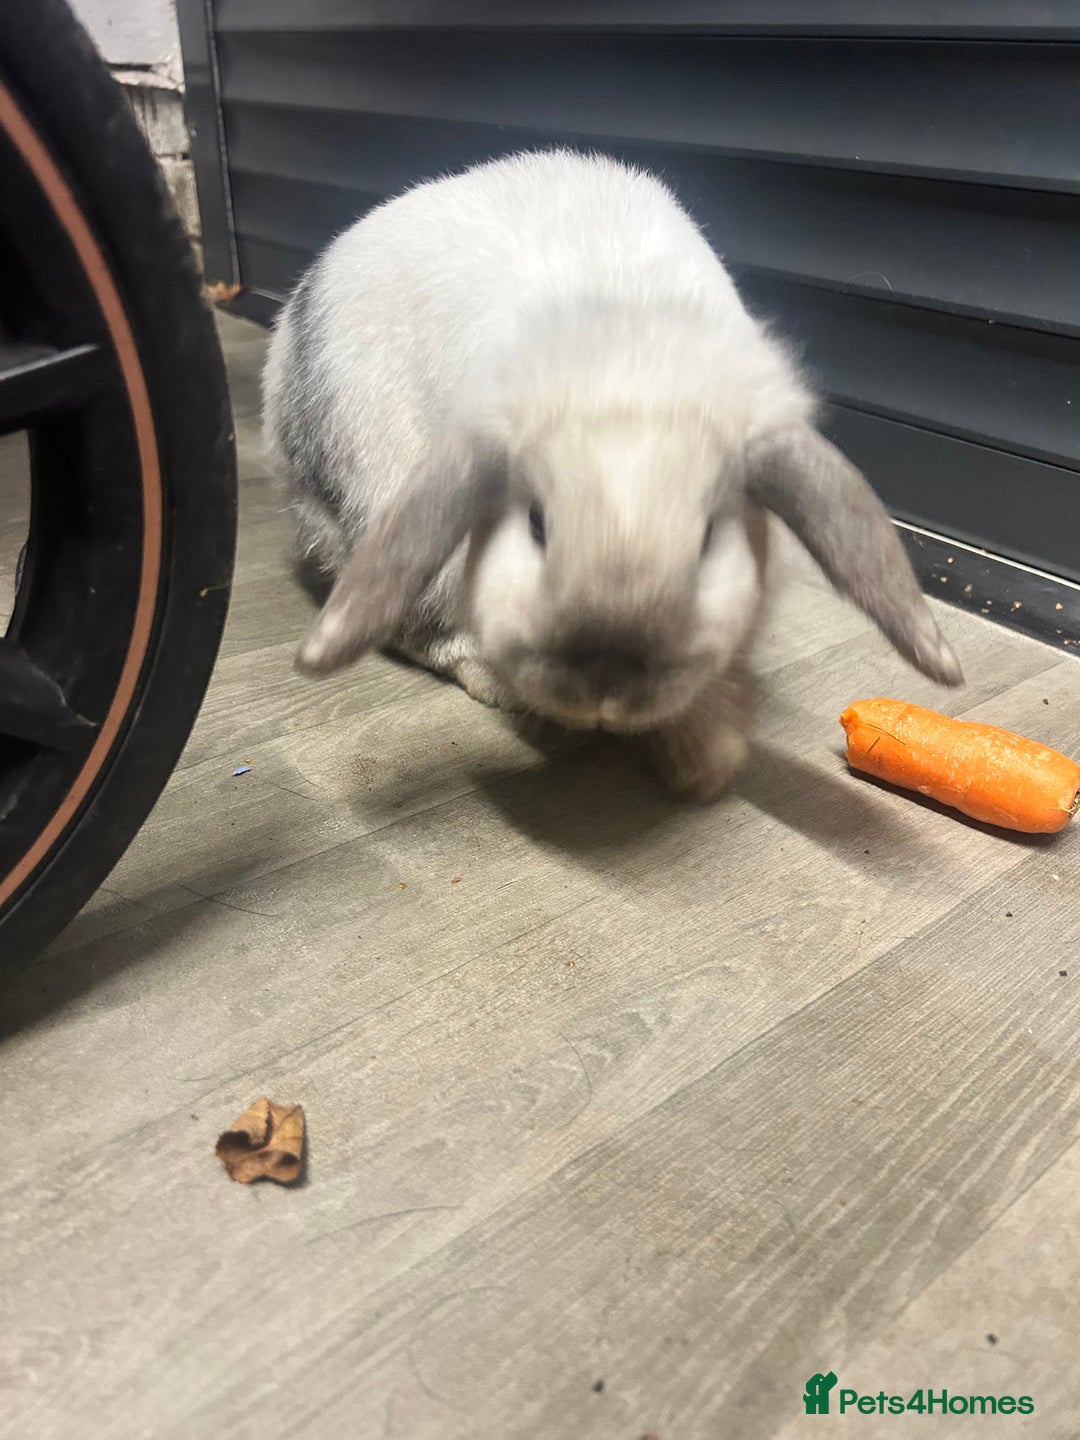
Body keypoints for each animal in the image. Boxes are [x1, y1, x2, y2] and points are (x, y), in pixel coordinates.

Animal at [263, 149, 962, 801]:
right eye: (536, 524)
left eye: (708, 538)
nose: (607, 685)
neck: (627, 379)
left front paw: (708, 762)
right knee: (420, 628)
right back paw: (493, 684)